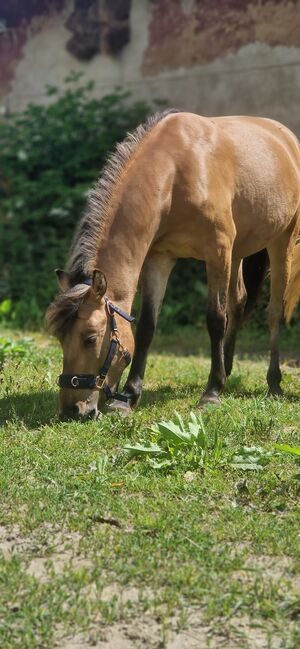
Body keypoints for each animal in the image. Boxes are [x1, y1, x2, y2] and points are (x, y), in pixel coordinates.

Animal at [46, 110, 300, 420]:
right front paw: (128, 396)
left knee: (274, 312)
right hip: (237, 251)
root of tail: (287, 138)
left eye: (90, 338)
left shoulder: (217, 253)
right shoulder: (160, 258)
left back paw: (273, 382)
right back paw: (227, 368)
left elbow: (216, 318)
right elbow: (147, 326)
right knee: (238, 302)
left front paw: (211, 393)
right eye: (60, 338)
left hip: (280, 242)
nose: (72, 410)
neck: (176, 173)